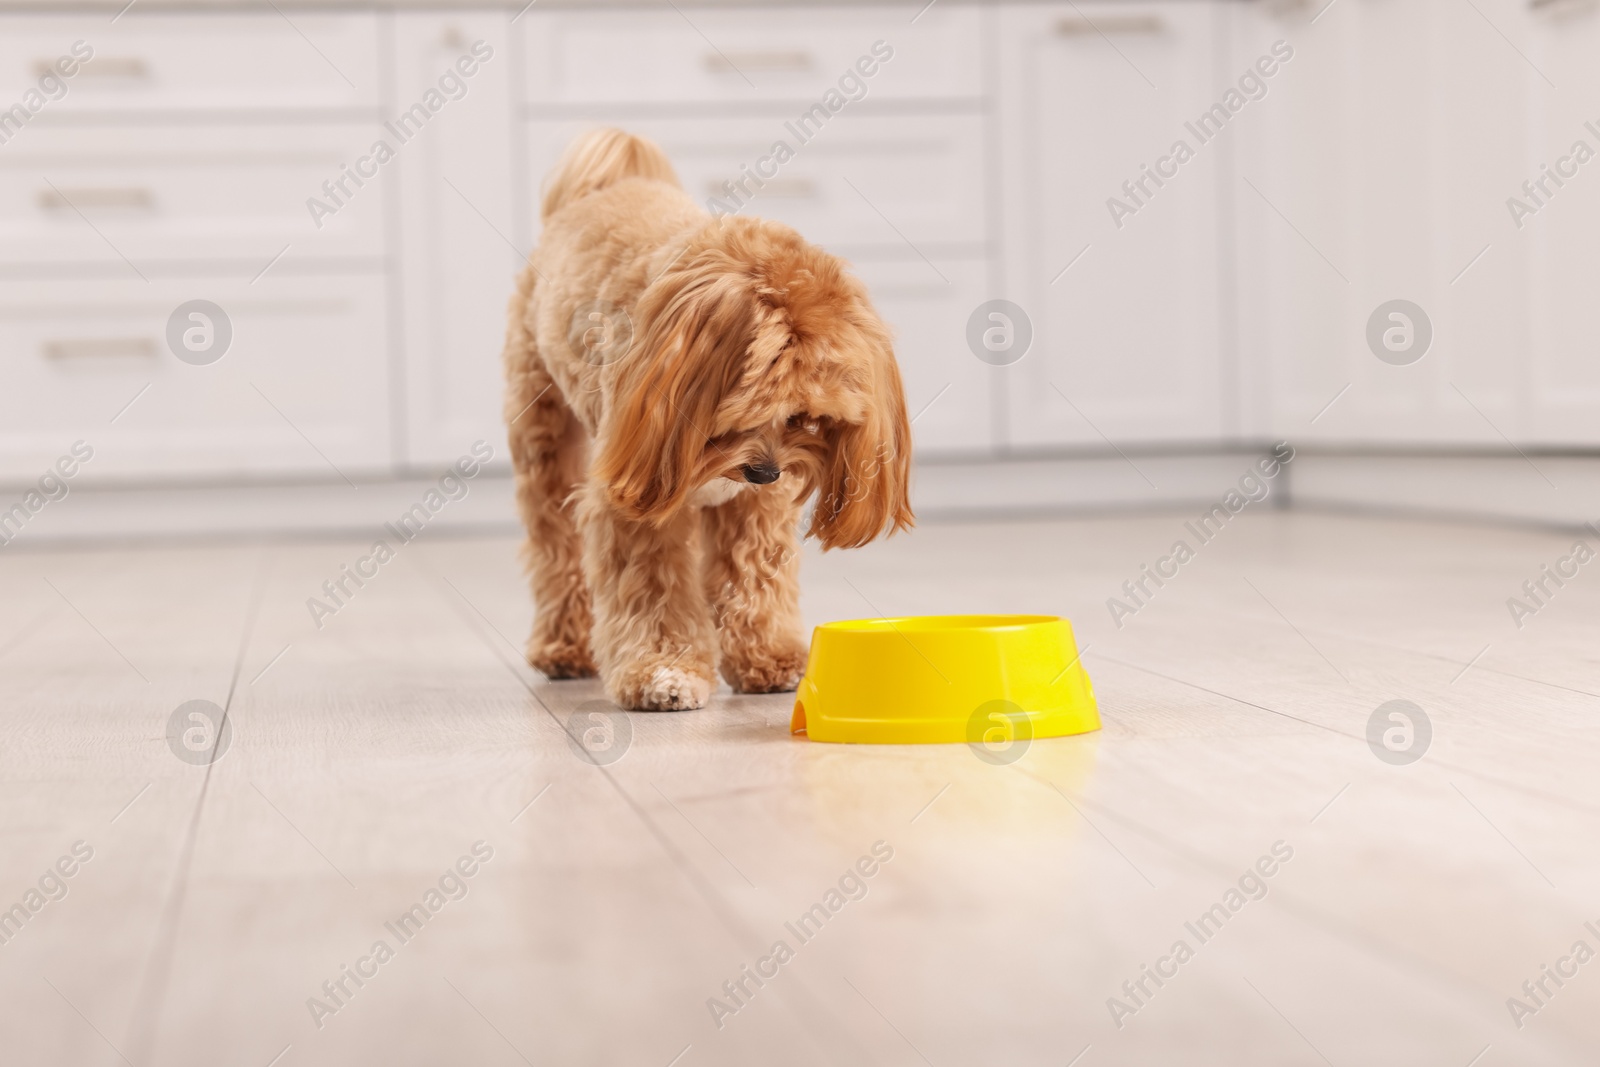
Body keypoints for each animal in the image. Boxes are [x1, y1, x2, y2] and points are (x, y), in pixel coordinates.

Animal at [499, 127, 915, 710]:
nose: (765, 471)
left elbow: (754, 581)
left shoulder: (754, 509)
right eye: (752, 405)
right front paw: (662, 670)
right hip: (545, 438)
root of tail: (603, 187)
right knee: (555, 549)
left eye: (805, 416)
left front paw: (769, 659)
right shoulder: (634, 502)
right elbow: (652, 591)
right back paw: (563, 647)